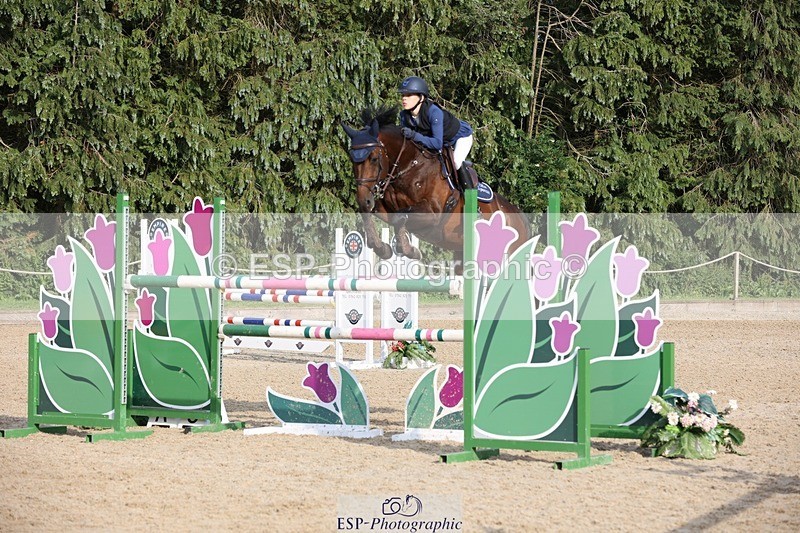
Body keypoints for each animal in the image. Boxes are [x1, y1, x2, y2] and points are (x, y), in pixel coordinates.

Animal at [341, 105, 530, 264]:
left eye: (373, 159)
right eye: (352, 159)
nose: (364, 199)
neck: (409, 167)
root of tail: (518, 215)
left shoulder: (432, 214)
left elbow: (400, 217)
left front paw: (409, 250)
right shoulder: (386, 208)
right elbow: (380, 216)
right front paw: (385, 249)